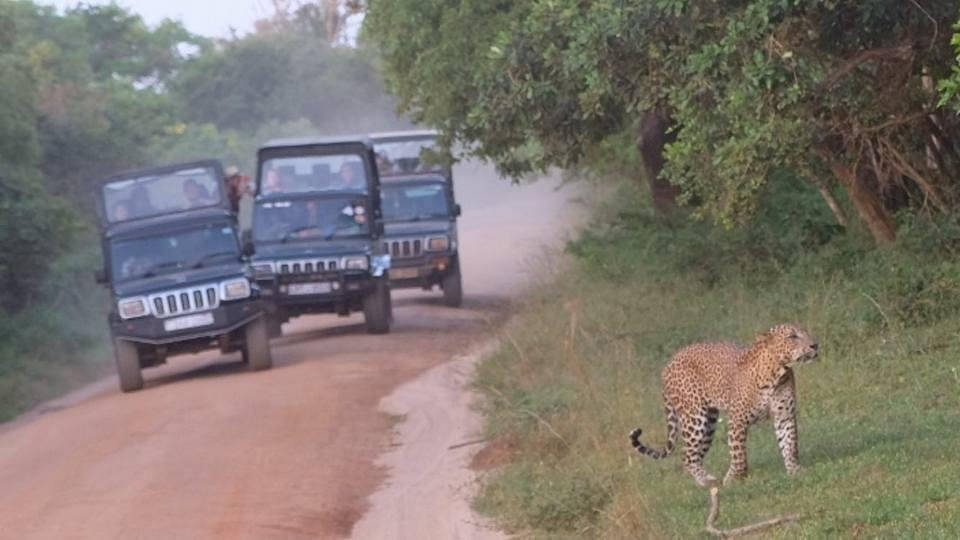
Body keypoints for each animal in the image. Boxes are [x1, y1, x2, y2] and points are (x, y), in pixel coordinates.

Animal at [632, 322, 816, 488]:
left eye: (806, 332)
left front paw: (795, 470)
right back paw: (707, 481)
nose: (815, 345)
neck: (777, 373)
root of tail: (668, 364)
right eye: (792, 336)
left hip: (709, 423)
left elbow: (790, 445)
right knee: (687, 456)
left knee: (694, 455)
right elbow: (739, 454)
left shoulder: (785, 416)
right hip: (694, 418)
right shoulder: (737, 420)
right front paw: (734, 479)